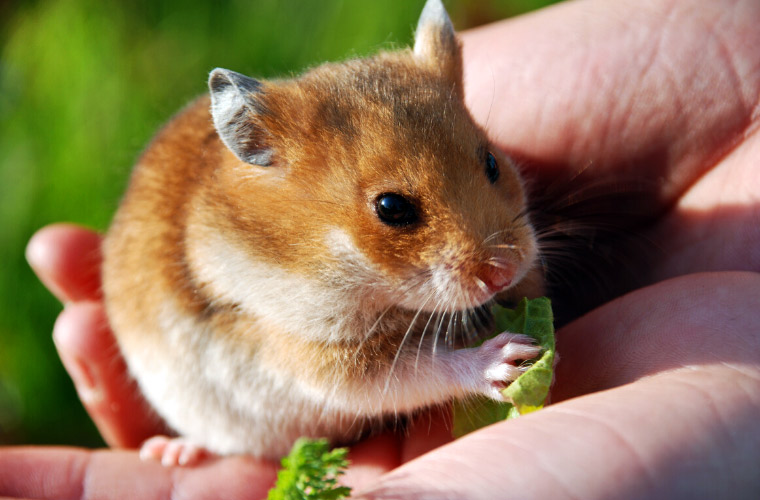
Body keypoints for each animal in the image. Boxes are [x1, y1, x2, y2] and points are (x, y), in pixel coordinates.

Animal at [104, 0, 548, 464]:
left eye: (492, 163)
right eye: (391, 208)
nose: (504, 272)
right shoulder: (322, 358)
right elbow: (421, 369)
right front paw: (513, 357)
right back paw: (170, 453)